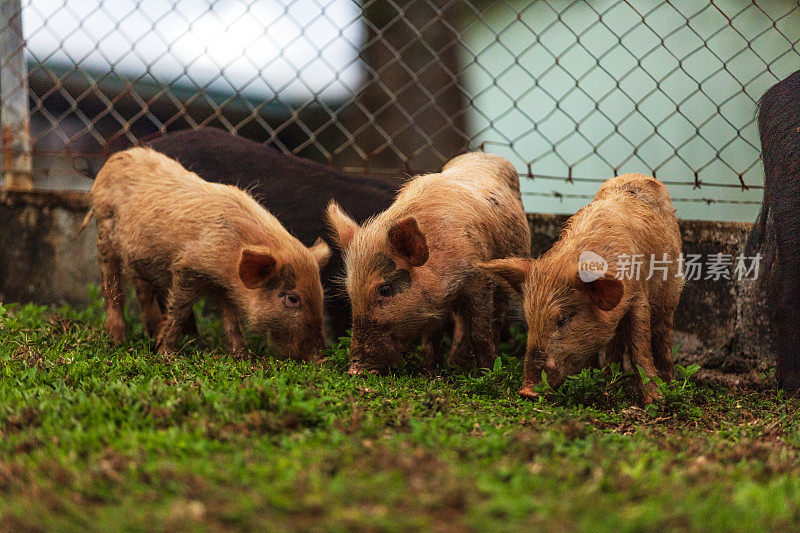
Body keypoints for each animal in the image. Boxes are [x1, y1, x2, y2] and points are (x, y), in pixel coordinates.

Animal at [324, 152, 532, 372]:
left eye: (385, 289)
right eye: (350, 291)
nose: (355, 370)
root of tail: (485, 154)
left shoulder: (480, 280)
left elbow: (480, 332)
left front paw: (488, 372)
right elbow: (431, 339)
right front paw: (432, 372)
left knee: (496, 317)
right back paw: (455, 362)